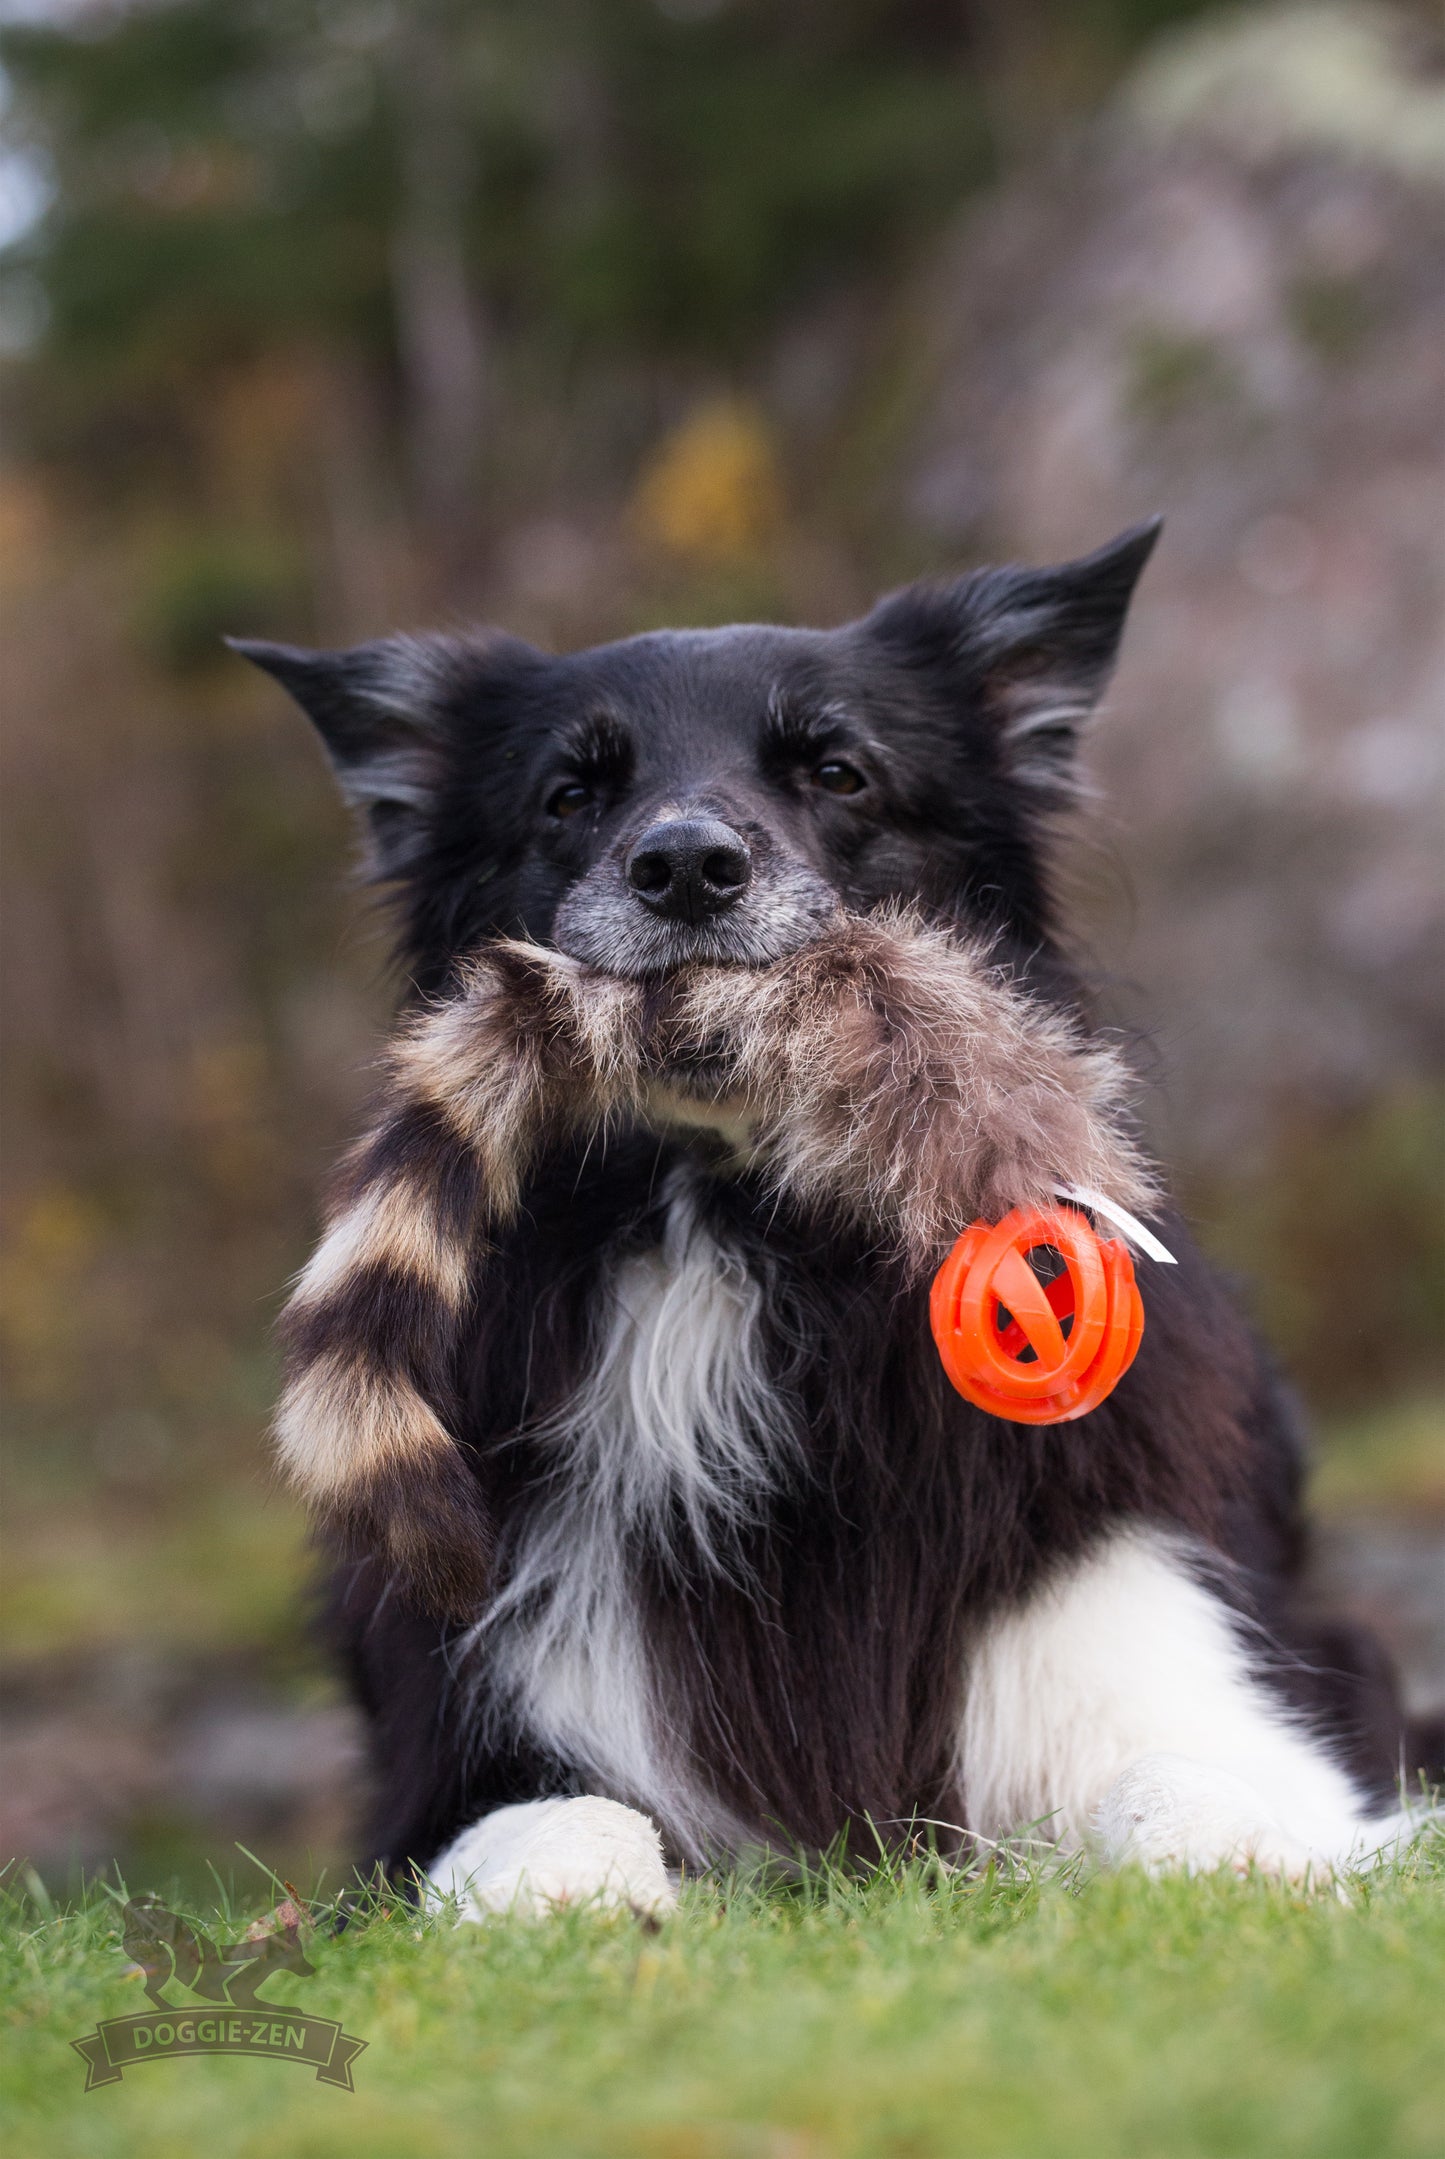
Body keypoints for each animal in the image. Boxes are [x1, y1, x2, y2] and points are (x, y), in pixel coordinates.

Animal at [236, 522, 1434, 1908]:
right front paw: (583, 1908)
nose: (685, 867)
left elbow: (1184, 1799)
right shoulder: (448, 1756)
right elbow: (553, 1825)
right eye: (568, 795)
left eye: (837, 770)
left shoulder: (1211, 1686)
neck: (737, 1250)